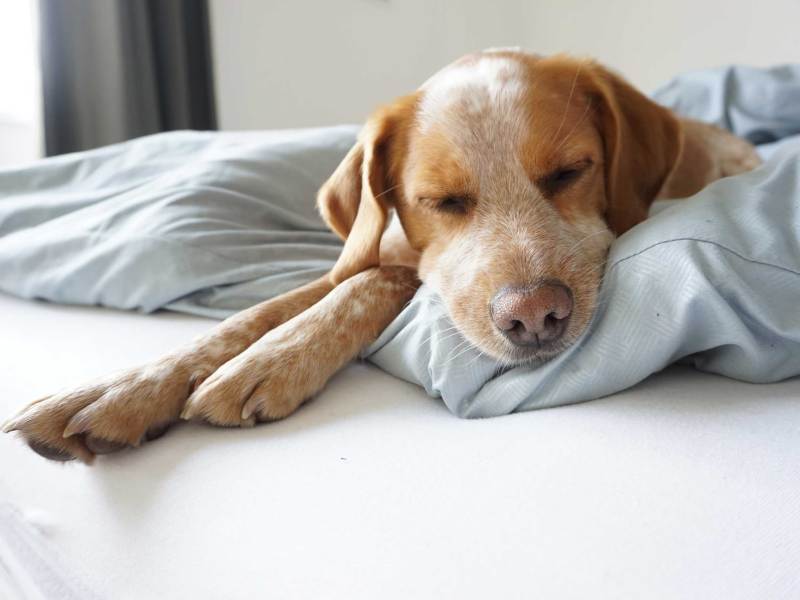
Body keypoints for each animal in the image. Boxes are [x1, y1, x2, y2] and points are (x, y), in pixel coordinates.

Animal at [3, 49, 760, 462]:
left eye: (570, 173)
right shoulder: (365, 251)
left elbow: (371, 287)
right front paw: (126, 387)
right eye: (441, 201)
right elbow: (255, 314)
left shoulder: (398, 270)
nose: (535, 317)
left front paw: (274, 360)